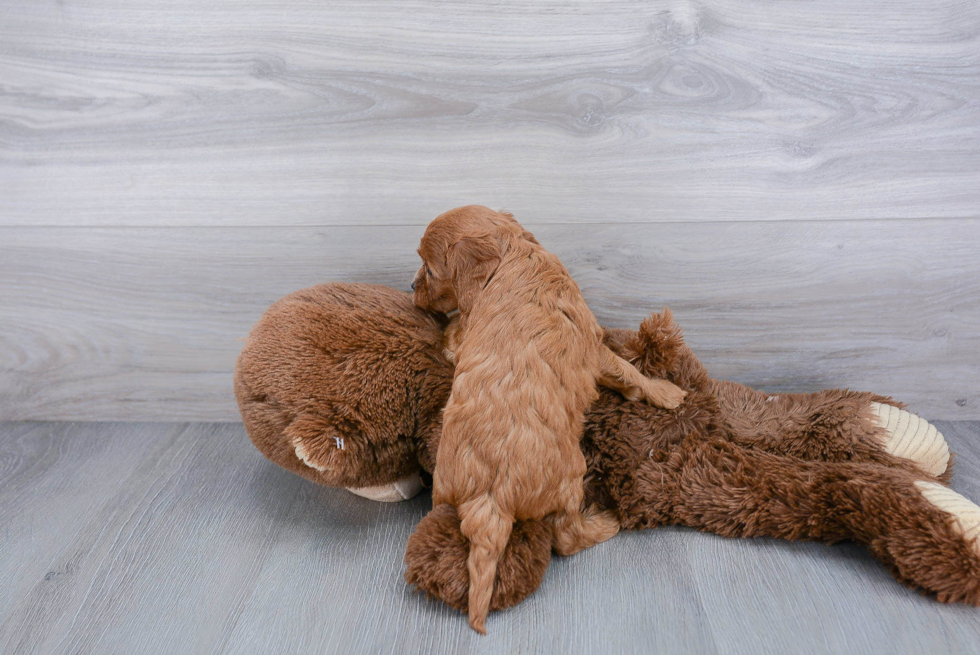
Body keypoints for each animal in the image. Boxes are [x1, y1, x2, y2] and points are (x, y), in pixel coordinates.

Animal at [412, 206, 680, 636]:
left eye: (429, 270)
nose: (410, 285)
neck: (513, 254)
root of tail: (489, 498)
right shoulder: (592, 345)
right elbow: (628, 372)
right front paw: (666, 392)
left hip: (445, 493)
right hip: (571, 476)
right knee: (566, 538)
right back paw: (604, 521)